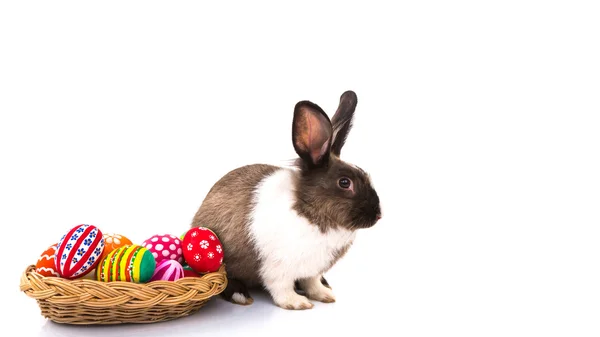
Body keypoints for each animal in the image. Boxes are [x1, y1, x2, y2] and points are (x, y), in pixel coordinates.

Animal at [190, 90, 382, 310]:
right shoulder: (276, 267)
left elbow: (312, 282)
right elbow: (280, 287)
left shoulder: (312, 269)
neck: (309, 212)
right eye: (344, 182)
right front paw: (298, 303)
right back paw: (240, 295)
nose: (378, 215)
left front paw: (324, 295)